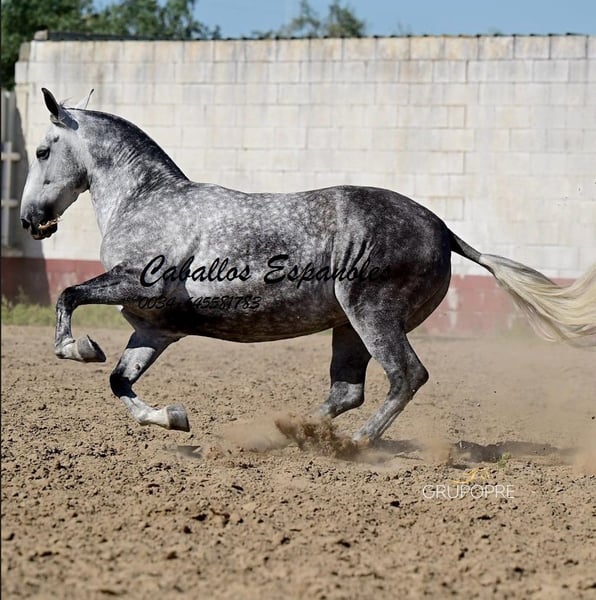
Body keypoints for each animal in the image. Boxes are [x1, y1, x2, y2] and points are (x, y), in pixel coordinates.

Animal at [20, 88, 596, 443]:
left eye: (43, 150)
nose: (30, 220)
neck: (144, 201)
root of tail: (443, 230)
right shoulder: (154, 327)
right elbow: (120, 381)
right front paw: (173, 417)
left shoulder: (137, 285)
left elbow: (69, 296)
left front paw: (78, 347)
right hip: (347, 326)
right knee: (348, 391)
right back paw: (288, 432)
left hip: (371, 313)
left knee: (405, 376)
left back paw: (357, 444)